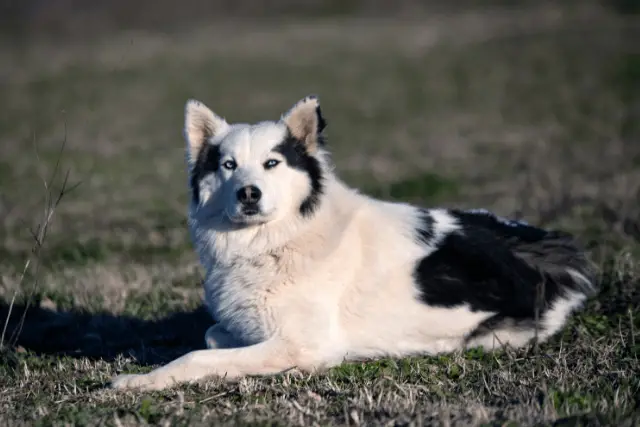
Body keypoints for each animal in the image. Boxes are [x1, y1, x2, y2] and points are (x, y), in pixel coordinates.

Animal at [110, 95, 596, 392]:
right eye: (228, 165)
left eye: (272, 163)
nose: (249, 193)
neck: (280, 239)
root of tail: (558, 251)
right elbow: (211, 336)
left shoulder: (304, 347)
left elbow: (197, 355)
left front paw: (138, 381)